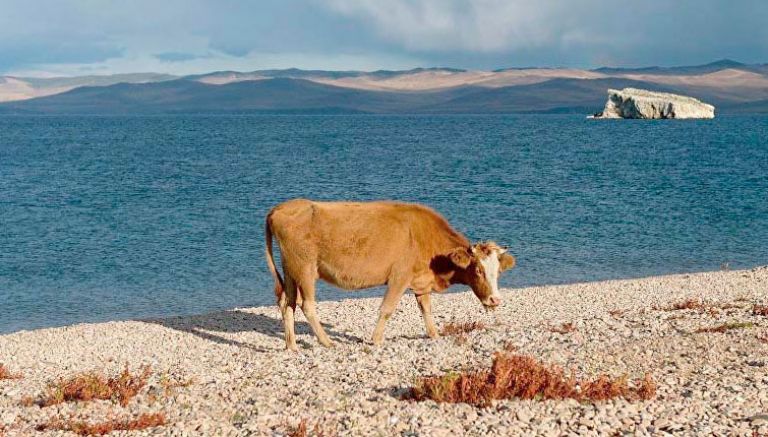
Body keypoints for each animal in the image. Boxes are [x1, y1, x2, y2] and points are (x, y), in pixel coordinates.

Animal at [264, 199, 516, 350]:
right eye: (478, 270)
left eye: (498, 272)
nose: (495, 299)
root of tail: (281, 207)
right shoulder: (399, 277)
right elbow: (387, 309)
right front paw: (376, 340)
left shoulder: (421, 281)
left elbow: (426, 310)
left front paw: (434, 334)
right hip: (305, 269)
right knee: (307, 305)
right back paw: (327, 342)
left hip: (291, 270)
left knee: (288, 303)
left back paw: (291, 345)